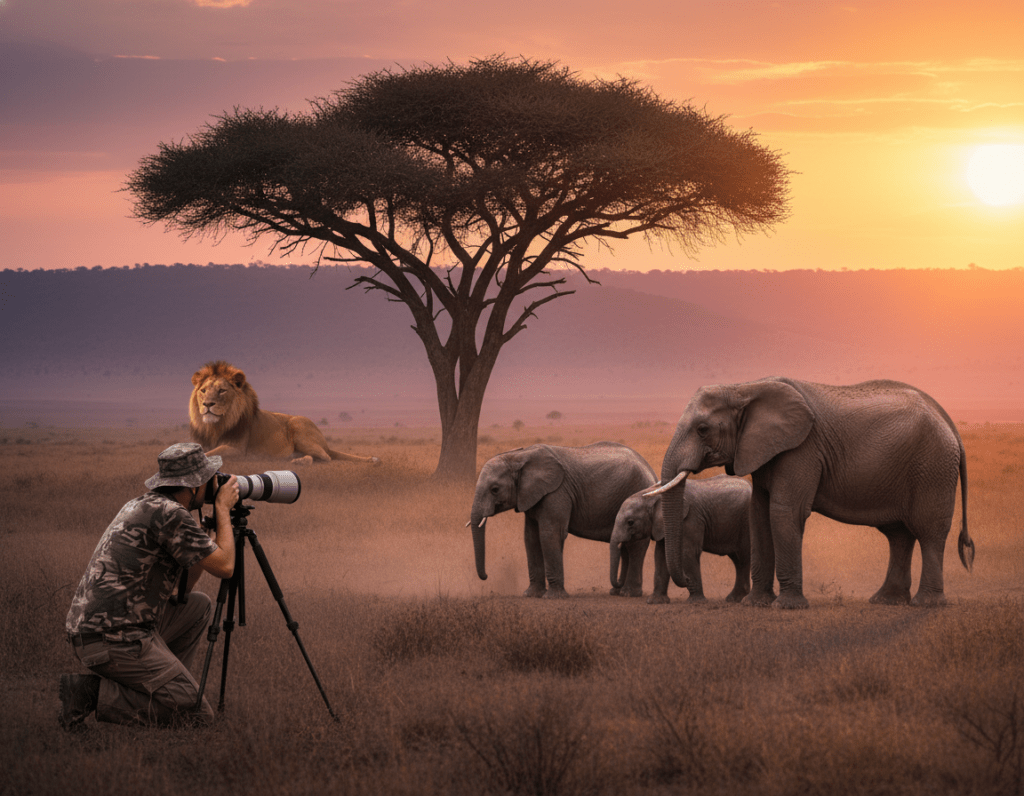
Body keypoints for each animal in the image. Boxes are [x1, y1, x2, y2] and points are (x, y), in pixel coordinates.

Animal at [189, 361, 380, 465]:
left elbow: (209, 454)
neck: (216, 425)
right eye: (203, 391)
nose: (207, 404)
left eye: (222, 391)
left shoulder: (236, 449)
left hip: (299, 427)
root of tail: (325, 443)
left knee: (326, 457)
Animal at [469, 442, 657, 599]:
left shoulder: (557, 492)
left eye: (494, 489)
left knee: (634, 546)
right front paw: (531, 595)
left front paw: (553, 597)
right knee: (624, 546)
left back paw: (629, 594)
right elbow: (531, 538)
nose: (485, 576)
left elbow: (550, 535)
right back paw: (616, 592)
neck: (519, 455)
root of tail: (652, 472)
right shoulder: (532, 496)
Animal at [612, 475, 751, 604]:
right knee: (739, 560)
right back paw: (734, 599)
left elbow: (687, 552)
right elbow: (661, 555)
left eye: (630, 522)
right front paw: (655, 601)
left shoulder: (689, 519)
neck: (653, 494)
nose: (686, 579)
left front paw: (696, 602)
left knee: (743, 557)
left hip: (746, 523)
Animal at [647, 377, 974, 609]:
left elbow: (783, 512)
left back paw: (926, 603)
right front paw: (755, 604)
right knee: (899, 535)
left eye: (702, 429)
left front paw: (787, 607)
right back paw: (887, 601)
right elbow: (759, 515)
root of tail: (950, 423)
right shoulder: (764, 451)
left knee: (929, 532)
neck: (744, 387)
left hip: (933, 466)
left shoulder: (801, 449)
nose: (685, 579)